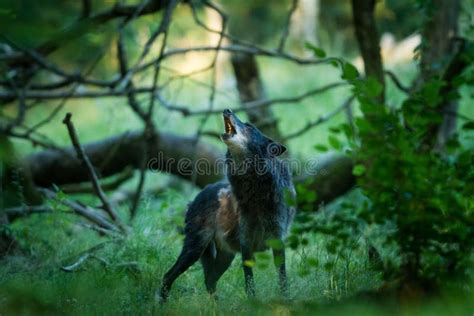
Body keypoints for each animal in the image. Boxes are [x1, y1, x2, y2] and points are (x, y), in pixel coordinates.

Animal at [157, 109, 294, 304]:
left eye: (249, 126)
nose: (227, 110)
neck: (256, 193)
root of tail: (197, 196)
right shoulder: (246, 242)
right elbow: (249, 280)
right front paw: (252, 303)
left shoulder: (277, 239)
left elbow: (282, 276)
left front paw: (286, 299)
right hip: (195, 249)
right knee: (169, 276)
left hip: (225, 256)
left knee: (209, 281)